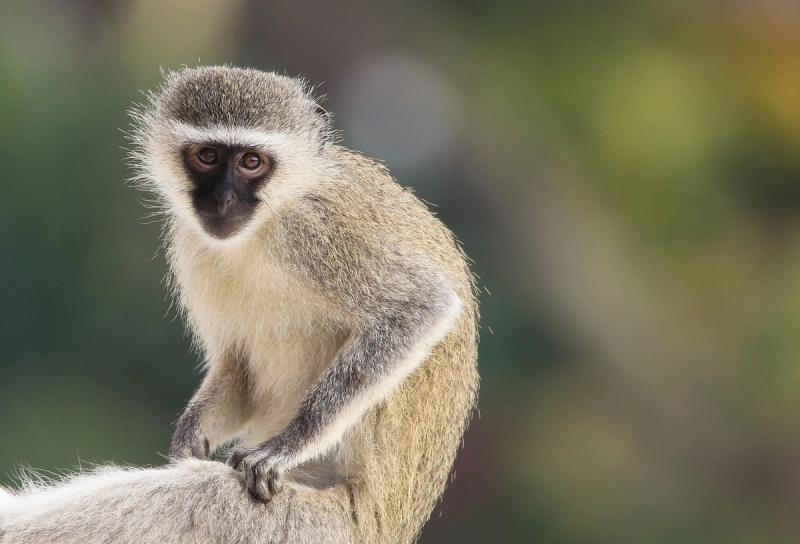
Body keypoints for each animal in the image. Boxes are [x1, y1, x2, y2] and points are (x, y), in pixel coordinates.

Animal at [0, 66, 478, 544]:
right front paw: (189, 438)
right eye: (207, 156)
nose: (222, 199)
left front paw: (285, 446)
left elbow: (421, 306)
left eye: (252, 162)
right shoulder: (190, 243)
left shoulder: (316, 232)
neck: (267, 222)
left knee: (198, 496)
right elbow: (239, 368)